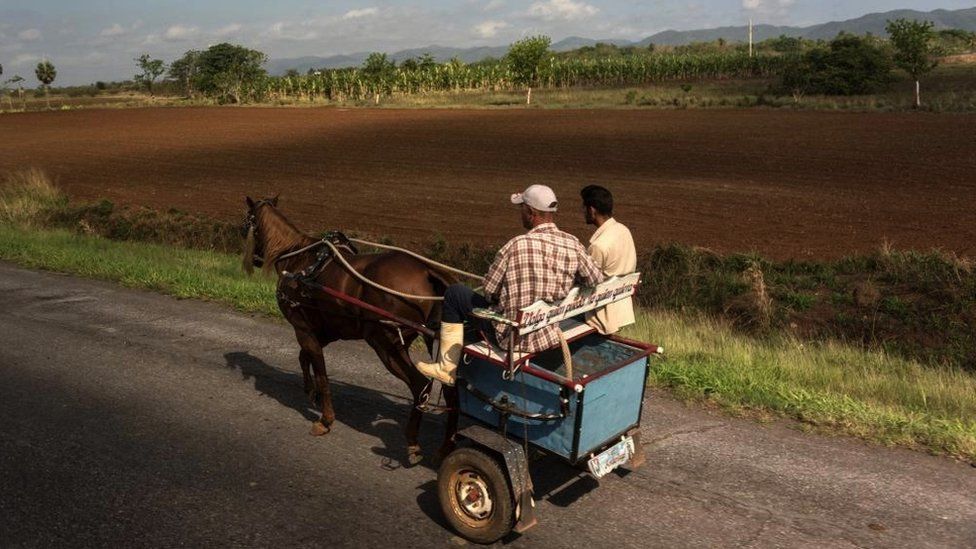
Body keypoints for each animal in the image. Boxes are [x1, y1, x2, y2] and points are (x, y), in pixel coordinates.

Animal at [242, 195, 460, 464]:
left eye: (246, 223)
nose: (255, 259)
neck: (300, 262)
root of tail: (425, 269)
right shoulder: (325, 331)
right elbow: (305, 358)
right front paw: (310, 391)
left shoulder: (303, 328)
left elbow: (321, 372)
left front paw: (325, 419)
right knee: (452, 392)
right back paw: (445, 449)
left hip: (385, 342)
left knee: (422, 386)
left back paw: (412, 443)